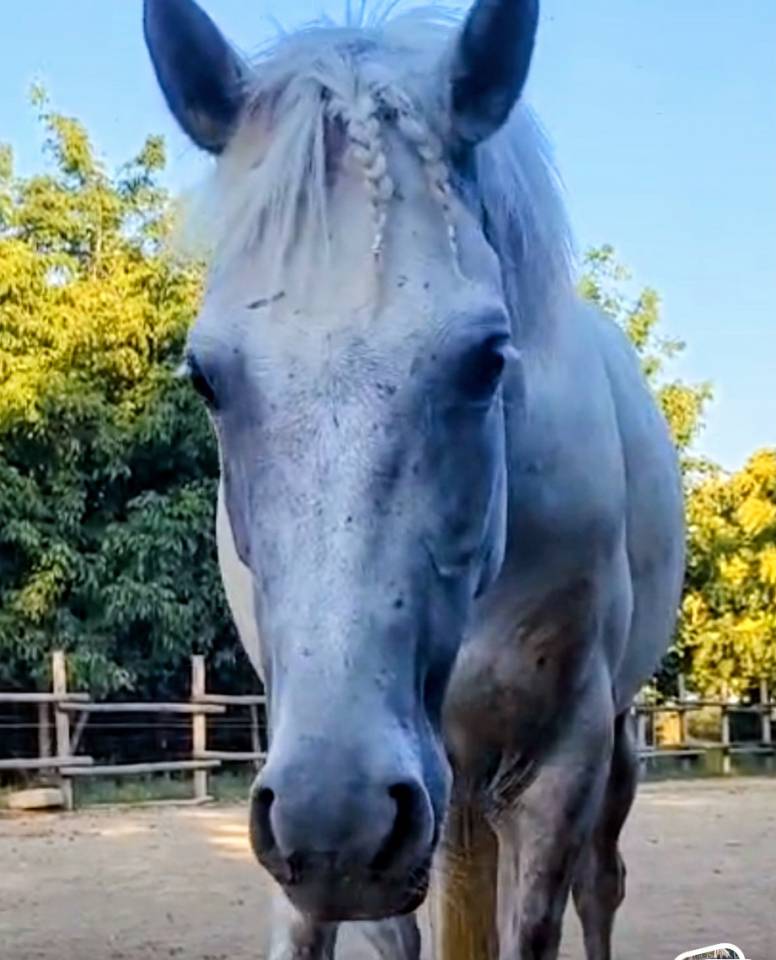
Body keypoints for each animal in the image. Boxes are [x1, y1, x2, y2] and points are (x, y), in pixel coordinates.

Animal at [143, 1, 685, 958]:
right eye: (204, 377)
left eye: (488, 357)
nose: (336, 821)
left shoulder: (564, 756)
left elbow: (536, 921)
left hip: (608, 745)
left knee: (600, 886)